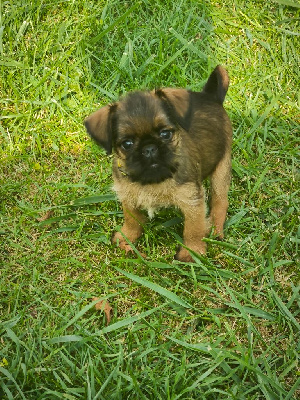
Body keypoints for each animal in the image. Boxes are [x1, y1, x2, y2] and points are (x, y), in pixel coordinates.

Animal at [84, 65, 232, 262]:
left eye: (165, 134)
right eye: (127, 144)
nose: (149, 148)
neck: (153, 181)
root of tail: (210, 96)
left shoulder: (192, 201)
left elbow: (193, 229)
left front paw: (191, 252)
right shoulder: (127, 195)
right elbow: (131, 219)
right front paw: (127, 237)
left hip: (222, 167)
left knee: (220, 201)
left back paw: (216, 228)